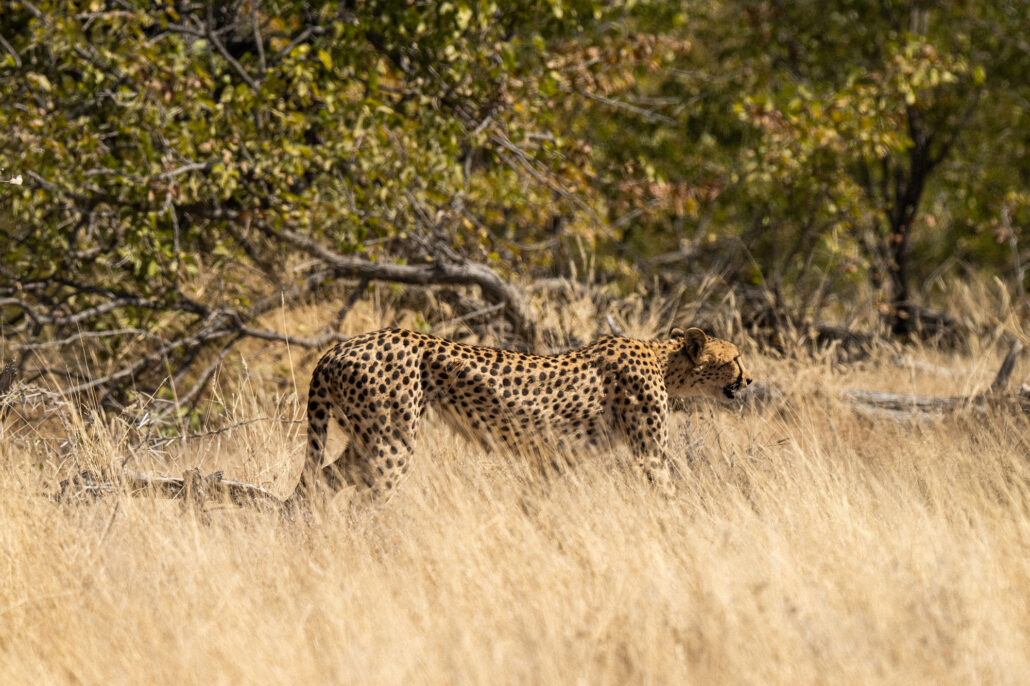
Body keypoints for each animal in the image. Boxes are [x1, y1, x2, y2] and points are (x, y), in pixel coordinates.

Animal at [288, 326, 751, 505]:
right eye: (735, 358)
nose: (750, 380)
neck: (664, 360)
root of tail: (337, 348)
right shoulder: (651, 455)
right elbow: (669, 494)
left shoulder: (553, 458)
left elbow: (533, 499)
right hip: (391, 446)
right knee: (361, 504)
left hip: (368, 440)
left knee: (319, 481)